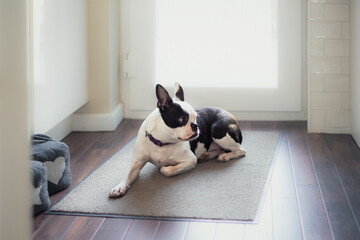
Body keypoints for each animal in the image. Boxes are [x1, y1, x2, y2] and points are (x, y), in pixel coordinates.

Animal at [108, 83, 246, 198]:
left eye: (196, 117)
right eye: (182, 119)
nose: (196, 125)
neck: (161, 142)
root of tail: (232, 117)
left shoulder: (190, 160)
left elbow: (167, 170)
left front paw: (164, 168)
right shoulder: (136, 163)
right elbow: (127, 176)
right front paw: (119, 187)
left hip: (217, 130)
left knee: (241, 150)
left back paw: (226, 156)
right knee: (220, 149)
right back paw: (207, 155)